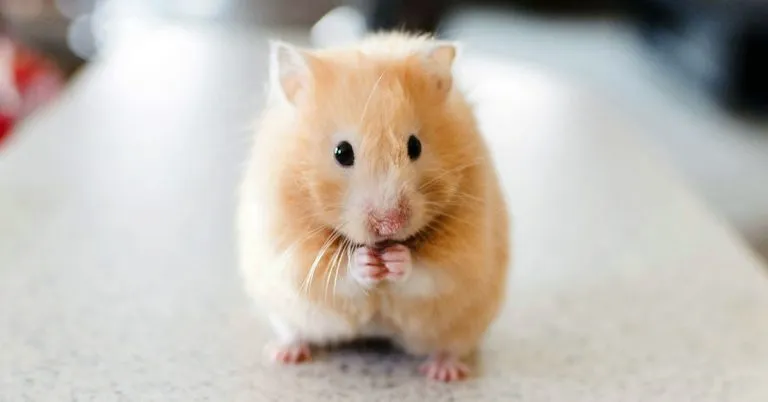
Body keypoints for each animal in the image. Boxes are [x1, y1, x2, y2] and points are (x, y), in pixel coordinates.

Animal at [237, 32, 510, 382]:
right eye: (342, 152)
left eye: (415, 146)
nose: (389, 225)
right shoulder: (290, 248)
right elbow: (335, 273)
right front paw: (366, 262)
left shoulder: (465, 250)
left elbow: (429, 271)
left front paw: (396, 259)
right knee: (294, 331)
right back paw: (284, 354)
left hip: (466, 323)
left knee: (450, 346)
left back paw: (444, 372)